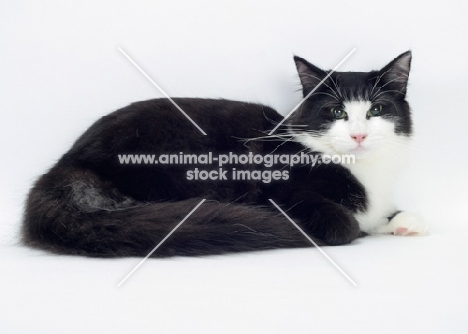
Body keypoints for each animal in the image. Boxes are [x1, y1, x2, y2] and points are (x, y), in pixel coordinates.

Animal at [21, 51, 424, 258]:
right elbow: (347, 224)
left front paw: (404, 221)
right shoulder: (279, 188)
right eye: (336, 112)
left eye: (376, 110)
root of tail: (67, 165)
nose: (358, 134)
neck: (363, 169)